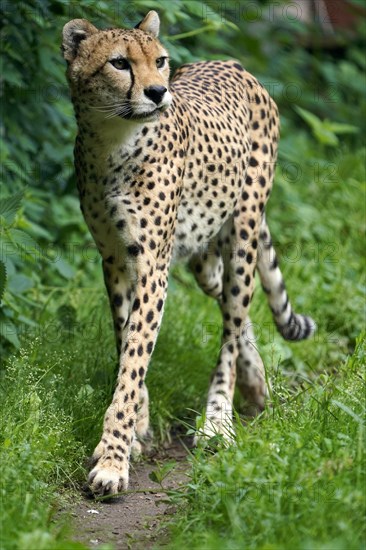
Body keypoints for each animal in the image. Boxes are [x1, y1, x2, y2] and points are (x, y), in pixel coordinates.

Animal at [62, 9, 314, 500]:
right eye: (119, 63)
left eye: (159, 61)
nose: (158, 92)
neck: (112, 143)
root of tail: (233, 64)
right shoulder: (114, 260)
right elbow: (126, 341)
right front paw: (137, 427)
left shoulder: (151, 267)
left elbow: (134, 357)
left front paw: (113, 459)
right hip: (204, 256)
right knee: (230, 303)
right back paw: (256, 383)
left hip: (243, 232)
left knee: (232, 324)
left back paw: (218, 418)